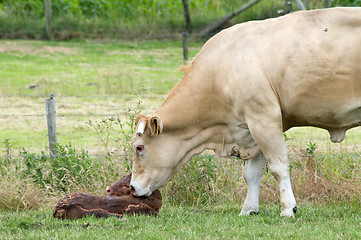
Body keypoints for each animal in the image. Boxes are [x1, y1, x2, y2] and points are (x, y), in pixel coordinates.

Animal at [128, 7, 358, 218]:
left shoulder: (263, 120)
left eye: (139, 148)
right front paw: (249, 209)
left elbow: (278, 167)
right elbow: (252, 173)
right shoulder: (251, 128)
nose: (131, 187)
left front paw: (287, 209)